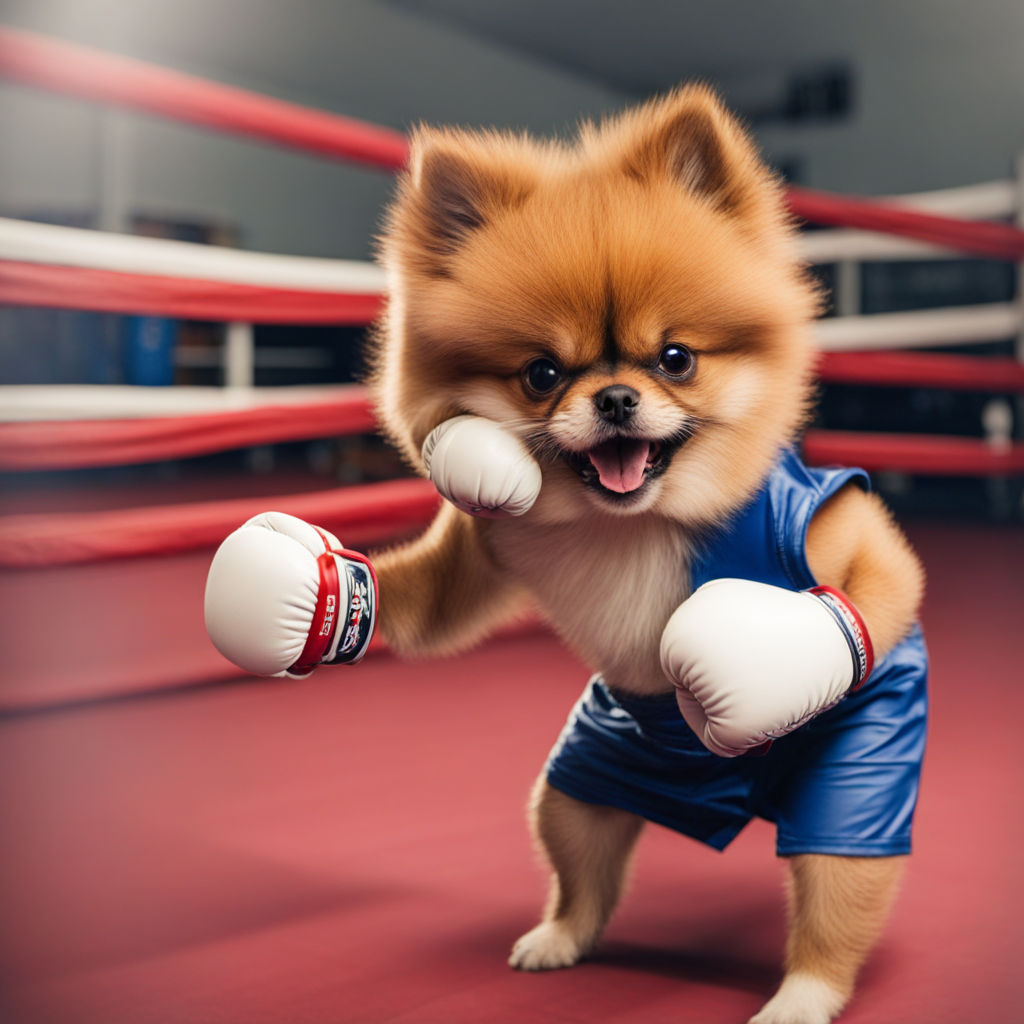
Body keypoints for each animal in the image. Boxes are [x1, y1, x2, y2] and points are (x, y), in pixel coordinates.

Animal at [205, 83, 929, 1024]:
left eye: (676, 359)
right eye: (542, 374)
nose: (617, 396)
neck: (628, 522)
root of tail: (735, 809)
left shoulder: (825, 523)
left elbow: (884, 573)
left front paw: (761, 657)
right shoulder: (488, 545)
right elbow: (425, 606)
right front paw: (294, 588)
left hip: (853, 794)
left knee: (833, 905)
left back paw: (802, 997)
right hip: (584, 776)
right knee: (584, 871)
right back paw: (558, 939)